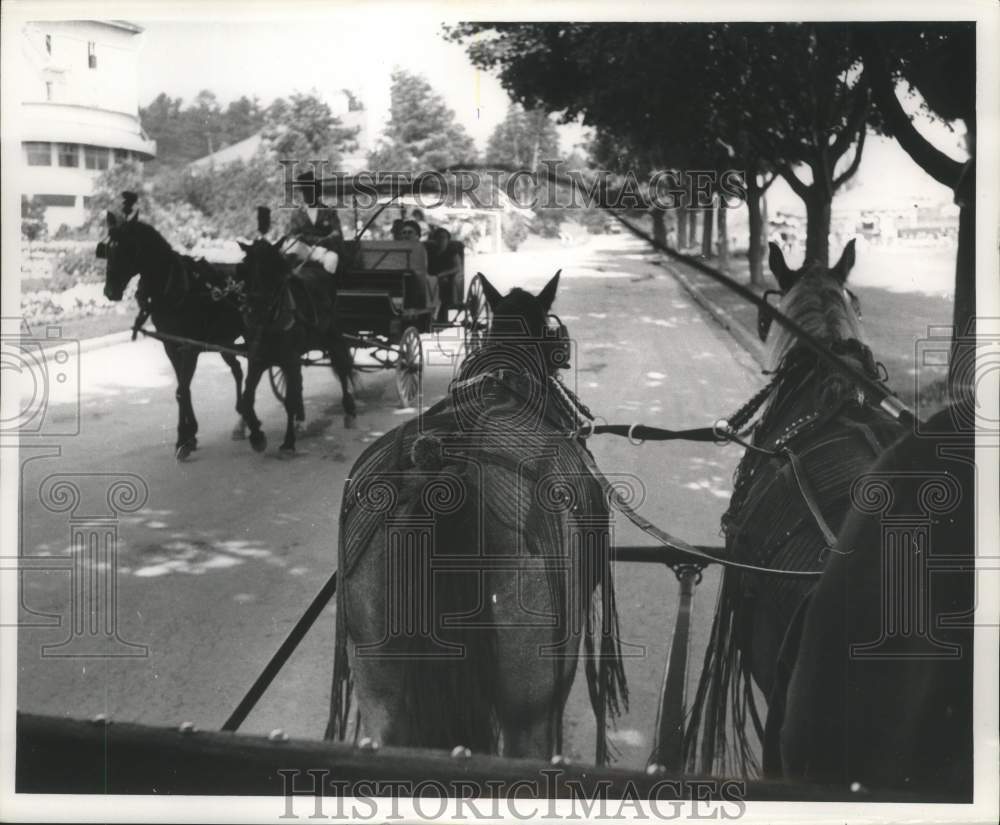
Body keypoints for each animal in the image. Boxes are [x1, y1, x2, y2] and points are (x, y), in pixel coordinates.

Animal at [101, 204, 248, 460]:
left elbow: (182, 389)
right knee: (238, 370)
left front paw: (183, 439)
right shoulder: (171, 346)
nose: (110, 292)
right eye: (108, 248)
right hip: (224, 341)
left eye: (127, 248)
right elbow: (183, 388)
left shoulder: (189, 347)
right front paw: (190, 436)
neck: (174, 287)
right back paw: (240, 422)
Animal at [235, 232, 358, 454]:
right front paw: (257, 436)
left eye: (275, 270)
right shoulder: (258, 359)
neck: (270, 320)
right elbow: (247, 398)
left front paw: (288, 442)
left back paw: (349, 410)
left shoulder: (289, 359)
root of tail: (318, 267)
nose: (255, 310)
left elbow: (290, 400)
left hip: (333, 335)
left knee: (342, 367)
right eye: (245, 269)